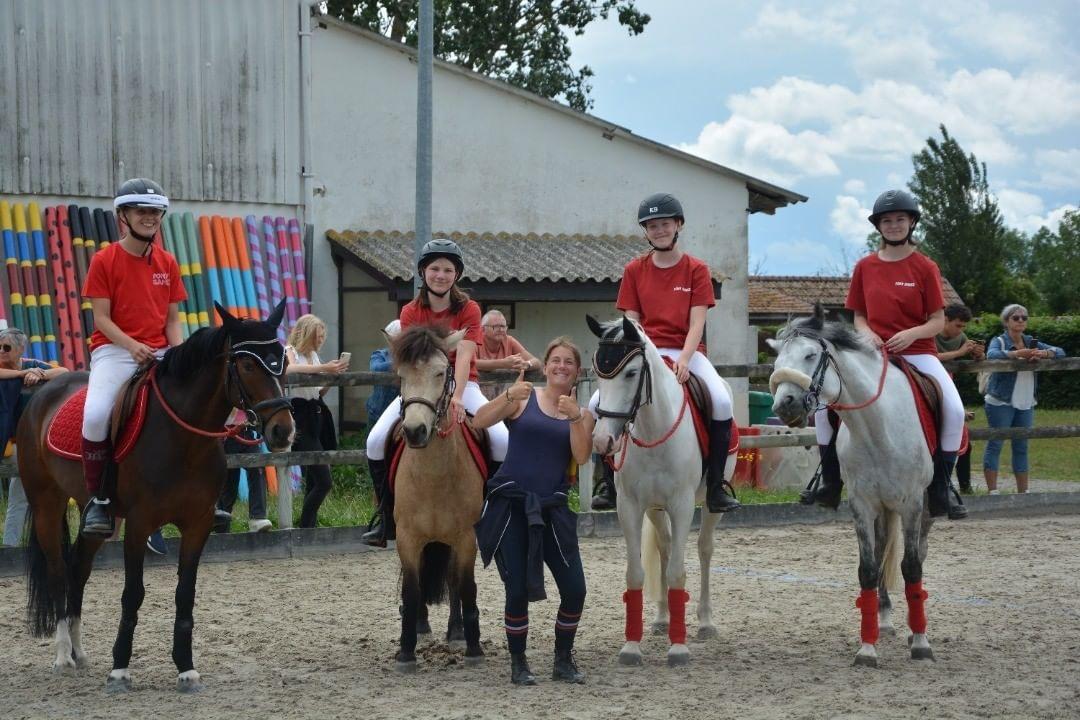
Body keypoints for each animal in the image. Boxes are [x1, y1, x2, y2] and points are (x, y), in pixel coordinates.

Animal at [390, 323, 483, 673]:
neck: (433, 477)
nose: (415, 431)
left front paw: (473, 649)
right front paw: (406, 653)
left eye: (441, 372)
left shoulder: (467, 537)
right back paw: (421, 627)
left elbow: (466, 587)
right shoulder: (407, 538)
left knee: (455, 581)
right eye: (401, 374)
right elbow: (411, 589)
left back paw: (456, 632)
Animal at [591, 317, 734, 669]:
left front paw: (678, 649)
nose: (602, 441)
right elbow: (636, 573)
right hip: (655, 509)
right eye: (599, 372)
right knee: (665, 546)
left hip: (709, 508)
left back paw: (706, 622)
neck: (652, 428)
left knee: (704, 549)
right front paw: (631, 646)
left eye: (631, 373)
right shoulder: (629, 506)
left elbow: (678, 573)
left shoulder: (682, 506)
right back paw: (661, 619)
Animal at [768, 306, 937, 669]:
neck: (877, 427)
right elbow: (868, 569)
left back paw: (911, 629)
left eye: (810, 355)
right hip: (883, 508)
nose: (785, 405)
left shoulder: (912, 503)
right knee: (884, 549)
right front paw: (867, 648)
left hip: (924, 508)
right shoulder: (862, 505)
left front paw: (921, 644)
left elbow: (912, 567)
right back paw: (885, 620)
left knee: (919, 554)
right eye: (777, 362)